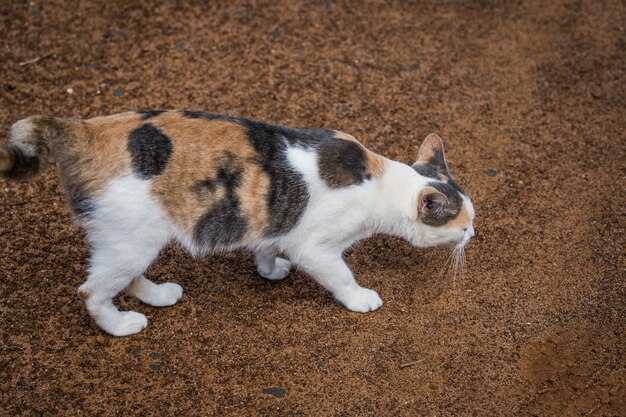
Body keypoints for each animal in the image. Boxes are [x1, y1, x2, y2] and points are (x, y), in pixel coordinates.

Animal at [0, 109, 472, 334]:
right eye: (463, 223)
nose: (475, 233)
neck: (378, 183)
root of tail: (85, 130)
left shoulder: (275, 222)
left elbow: (265, 246)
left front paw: (270, 269)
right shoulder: (315, 247)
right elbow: (340, 275)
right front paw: (360, 299)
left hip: (130, 240)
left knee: (126, 277)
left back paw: (158, 295)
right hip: (133, 238)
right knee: (92, 291)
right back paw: (121, 325)